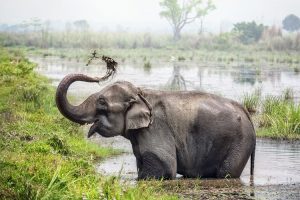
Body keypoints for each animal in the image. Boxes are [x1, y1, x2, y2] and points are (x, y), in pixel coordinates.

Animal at [55, 73, 255, 180]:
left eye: (102, 102)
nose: (99, 76)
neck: (141, 93)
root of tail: (246, 113)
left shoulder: (156, 128)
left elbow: (165, 168)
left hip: (239, 143)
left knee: (226, 174)